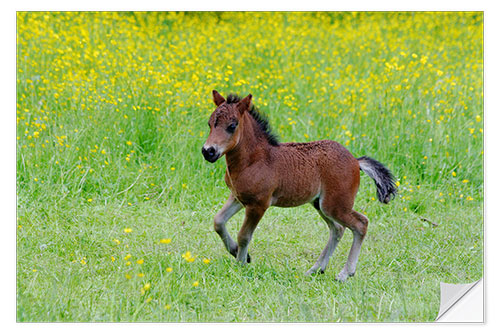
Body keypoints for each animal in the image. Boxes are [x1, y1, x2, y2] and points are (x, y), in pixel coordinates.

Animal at [201, 90, 396, 280]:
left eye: (232, 126)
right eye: (210, 124)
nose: (208, 151)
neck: (253, 160)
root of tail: (356, 161)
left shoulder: (258, 204)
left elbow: (244, 235)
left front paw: (241, 265)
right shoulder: (238, 197)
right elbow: (218, 221)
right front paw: (237, 253)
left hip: (335, 205)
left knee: (360, 224)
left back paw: (345, 273)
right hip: (320, 204)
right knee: (337, 229)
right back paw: (316, 269)